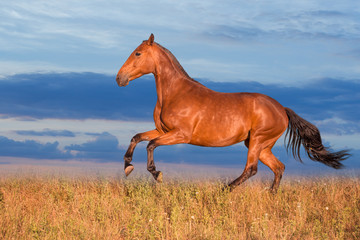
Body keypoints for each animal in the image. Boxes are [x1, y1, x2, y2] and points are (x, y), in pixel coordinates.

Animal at [116, 33, 350, 192]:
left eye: (138, 53)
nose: (119, 78)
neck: (175, 93)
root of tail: (282, 109)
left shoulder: (181, 135)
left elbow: (150, 145)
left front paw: (157, 174)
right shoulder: (163, 130)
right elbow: (137, 137)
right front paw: (128, 167)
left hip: (257, 141)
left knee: (252, 169)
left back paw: (224, 190)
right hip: (261, 146)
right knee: (278, 168)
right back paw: (271, 196)